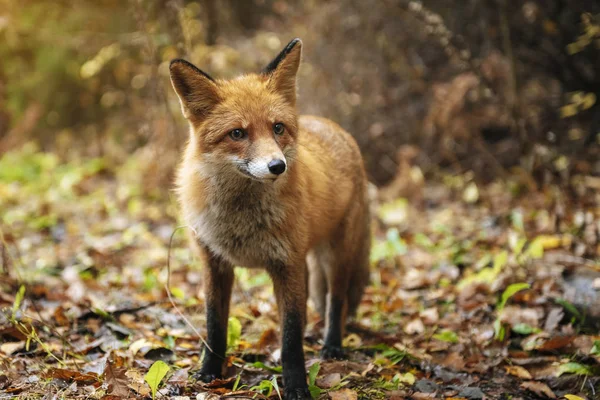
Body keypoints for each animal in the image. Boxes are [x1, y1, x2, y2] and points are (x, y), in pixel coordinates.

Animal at [169, 38, 370, 400]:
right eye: (237, 133)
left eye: (277, 128)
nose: (278, 166)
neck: (241, 220)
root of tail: (331, 125)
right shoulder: (214, 262)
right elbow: (214, 326)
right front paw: (209, 373)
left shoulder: (285, 263)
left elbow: (290, 338)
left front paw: (297, 387)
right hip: (307, 261)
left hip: (336, 255)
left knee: (337, 301)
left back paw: (332, 345)